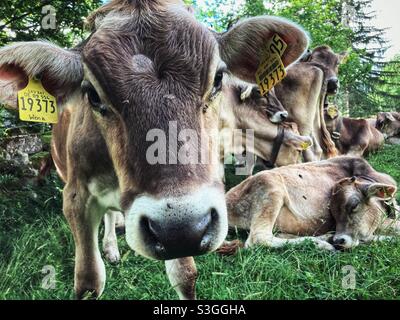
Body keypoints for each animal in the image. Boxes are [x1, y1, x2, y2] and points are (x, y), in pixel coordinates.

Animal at [0, 0, 310, 300]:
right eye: (93, 94)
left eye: (218, 79)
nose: (180, 228)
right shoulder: (76, 197)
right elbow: (89, 282)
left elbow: (186, 277)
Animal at [220, 156, 398, 251]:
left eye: (353, 206)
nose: (338, 240)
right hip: (269, 185)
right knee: (259, 238)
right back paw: (321, 244)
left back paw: (325, 238)